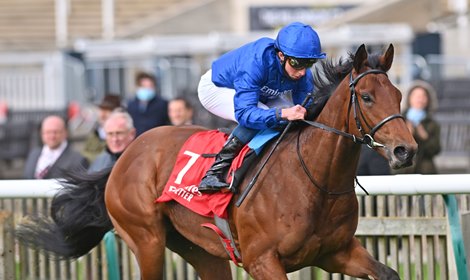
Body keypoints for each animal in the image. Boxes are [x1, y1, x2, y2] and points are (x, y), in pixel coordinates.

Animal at [17, 44, 414, 278]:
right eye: (366, 97)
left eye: (398, 95)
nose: (405, 150)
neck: (316, 180)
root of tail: (125, 156)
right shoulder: (262, 261)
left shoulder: (337, 253)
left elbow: (389, 273)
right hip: (145, 239)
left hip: (200, 249)